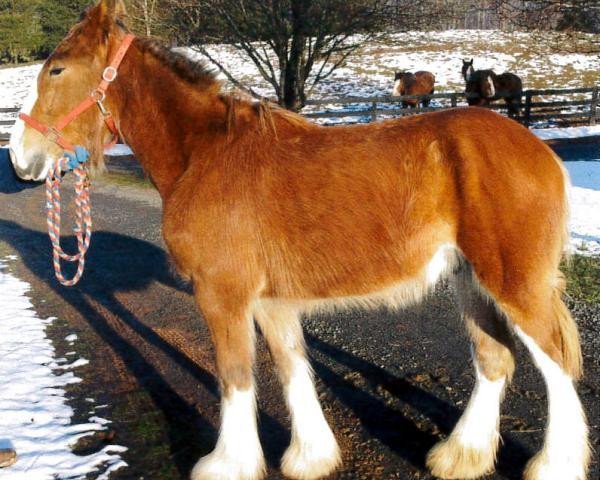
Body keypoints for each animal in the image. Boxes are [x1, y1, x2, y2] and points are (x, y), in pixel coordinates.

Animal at [9, 0, 592, 480]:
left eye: (57, 69)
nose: (19, 156)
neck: (205, 154)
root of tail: (542, 152)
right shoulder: (272, 301)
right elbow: (293, 368)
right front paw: (311, 458)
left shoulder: (222, 295)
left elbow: (235, 375)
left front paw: (228, 465)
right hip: (471, 280)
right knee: (495, 359)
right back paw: (459, 457)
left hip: (514, 282)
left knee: (556, 360)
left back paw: (555, 465)